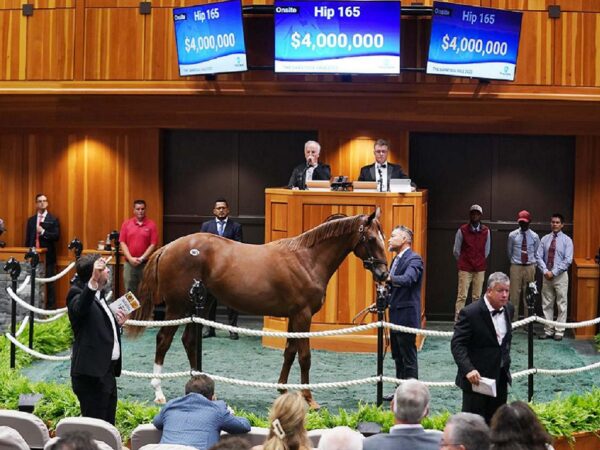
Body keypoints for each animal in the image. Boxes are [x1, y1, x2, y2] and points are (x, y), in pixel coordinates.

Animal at [129, 207, 386, 408]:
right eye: (372, 239)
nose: (383, 273)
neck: (307, 260)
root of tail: (168, 247)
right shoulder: (303, 316)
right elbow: (305, 356)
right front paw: (309, 398)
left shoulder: (293, 316)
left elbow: (289, 352)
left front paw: (282, 388)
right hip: (177, 307)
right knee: (163, 340)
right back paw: (159, 392)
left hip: (198, 307)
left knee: (189, 341)